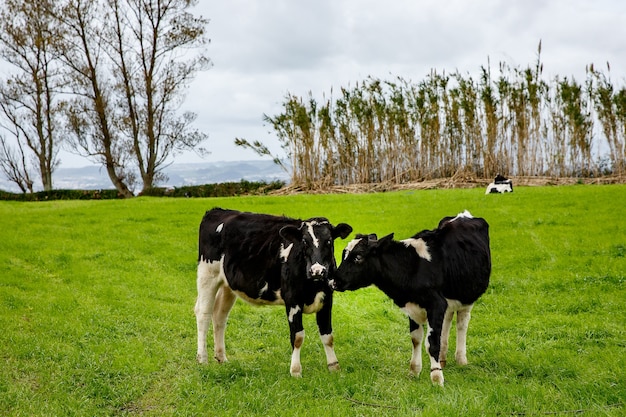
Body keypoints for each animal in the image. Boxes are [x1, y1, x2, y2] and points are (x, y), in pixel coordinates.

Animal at [195, 208, 352, 376]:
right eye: (304, 241)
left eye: (329, 241)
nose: (317, 271)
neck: (313, 284)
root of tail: (218, 211)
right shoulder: (292, 300)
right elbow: (297, 337)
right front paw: (295, 370)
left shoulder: (327, 299)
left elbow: (327, 335)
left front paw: (333, 366)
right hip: (207, 274)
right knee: (203, 314)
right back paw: (202, 359)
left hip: (227, 285)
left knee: (219, 315)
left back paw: (221, 358)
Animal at [330, 210, 490, 386]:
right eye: (344, 254)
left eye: (358, 257)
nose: (334, 281)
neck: (412, 267)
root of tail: (463, 215)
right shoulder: (414, 306)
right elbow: (416, 339)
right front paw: (414, 371)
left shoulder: (436, 303)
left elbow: (432, 342)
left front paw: (436, 377)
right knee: (447, 321)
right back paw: (442, 359)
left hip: (467, 296)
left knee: (462, 323)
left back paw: (461, 359)